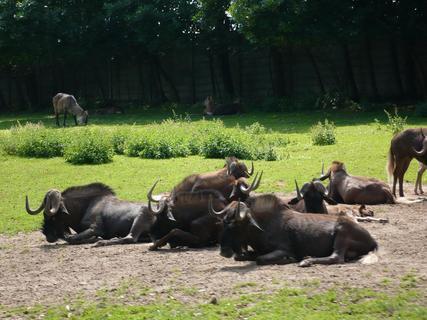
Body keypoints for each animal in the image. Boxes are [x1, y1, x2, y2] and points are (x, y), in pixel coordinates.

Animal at [213, 194, 378, 266]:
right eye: (224, 223)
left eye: (235, 225)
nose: (223, 251)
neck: (263, 226)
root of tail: (373, 241)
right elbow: (241, 257)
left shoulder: (284, 249)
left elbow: (261, 259)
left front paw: (289, 259)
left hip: (342, 233)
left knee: (336, 257)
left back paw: (306, 260)